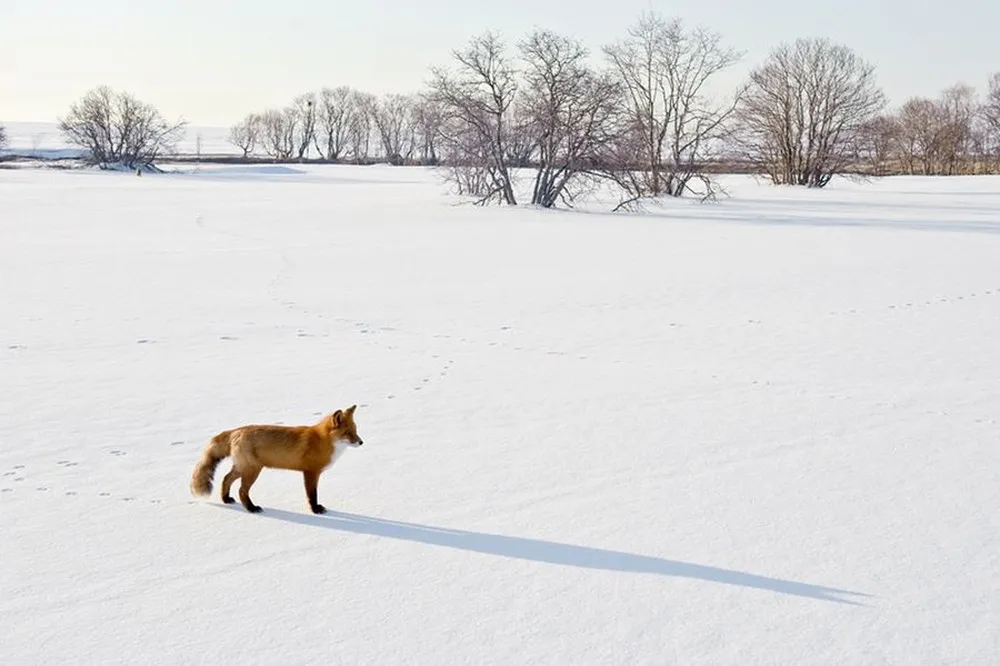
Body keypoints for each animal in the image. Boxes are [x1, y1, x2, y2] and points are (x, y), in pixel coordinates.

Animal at [190, 405, 364, 514]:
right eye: (347, 433)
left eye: (355, 431)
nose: (361, 442)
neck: (322, 440)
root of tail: (236, 431)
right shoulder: (310, 472)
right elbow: (312, 495)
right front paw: (315, 510)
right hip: (252, 470)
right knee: (242, 490)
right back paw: (252, 508)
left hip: (242, 468)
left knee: (226, 479)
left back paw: (226, 499)